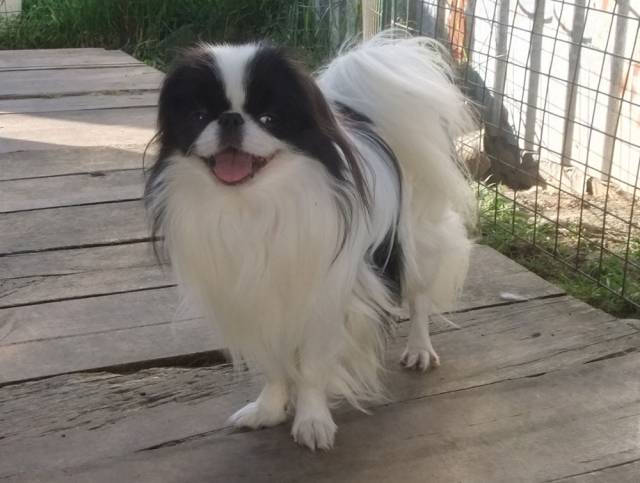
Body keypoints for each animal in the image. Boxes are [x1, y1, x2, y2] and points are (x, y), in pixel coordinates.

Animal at [144, 32, 475, 450]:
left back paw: (419, 350)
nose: (231, 118)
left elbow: (313, 367)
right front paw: (269, 409)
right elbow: (273, 364)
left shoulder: (326, 299)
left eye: (270, 119)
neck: (252, 206)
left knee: (419, 298)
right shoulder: (254, 301)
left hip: (419, 243)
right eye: (199, 116)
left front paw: (313, 421)